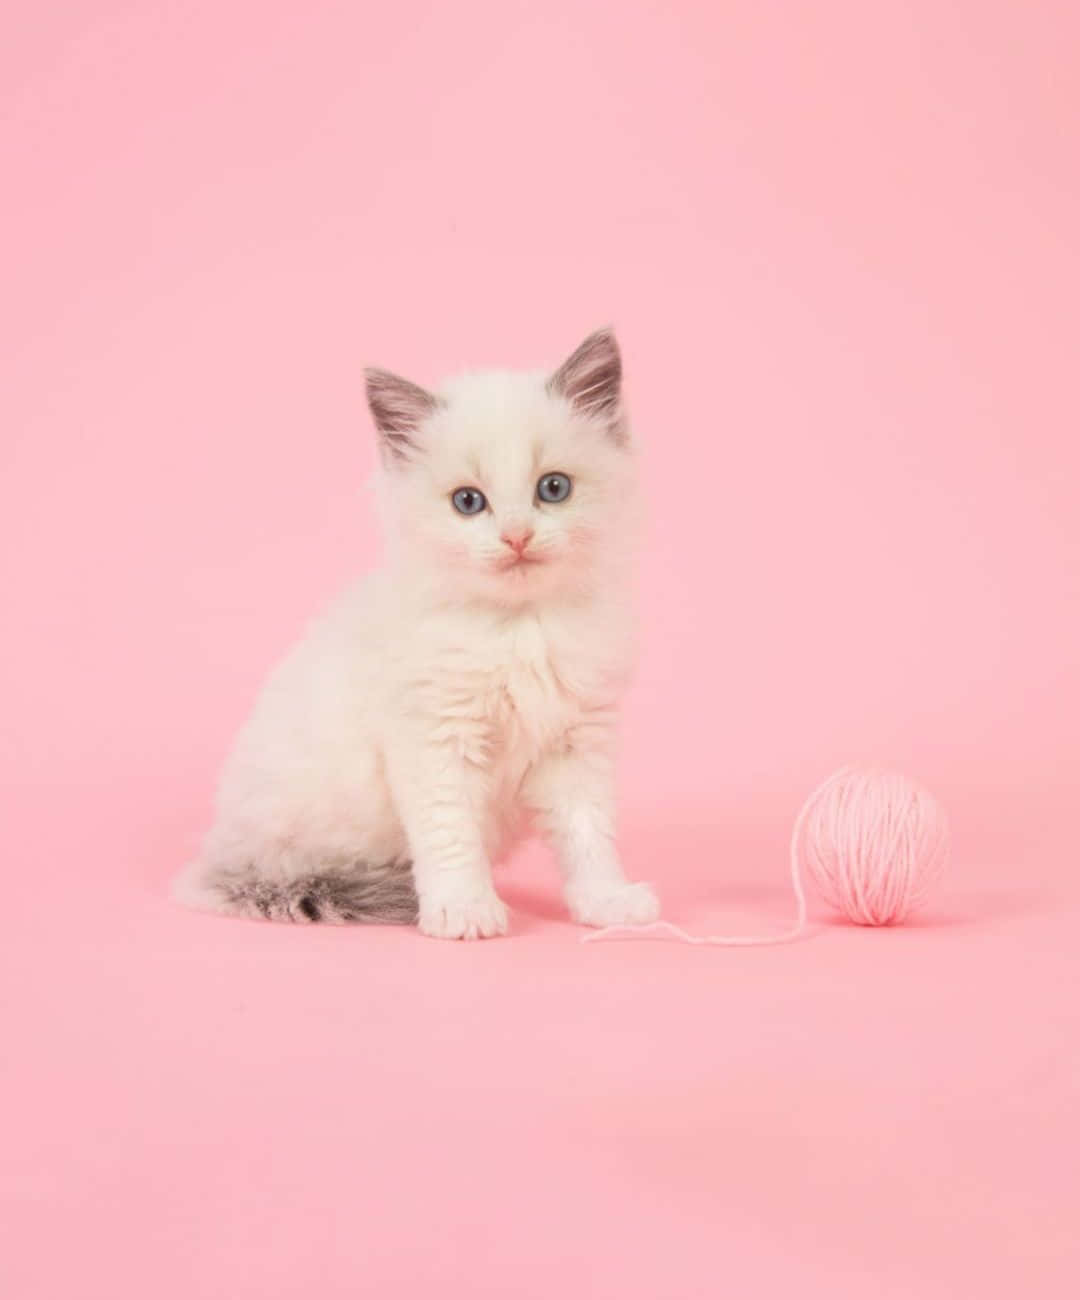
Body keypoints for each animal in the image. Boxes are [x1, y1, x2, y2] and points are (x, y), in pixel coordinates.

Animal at [172, 330, 660, 941]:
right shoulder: (434, 739)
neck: (519, 627)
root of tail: (215, 861)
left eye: (553, 489)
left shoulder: (577, 741)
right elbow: (450, 835)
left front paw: (608, 902)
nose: (517, 537)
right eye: (468, 502)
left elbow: (587, 833)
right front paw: (463, 909)